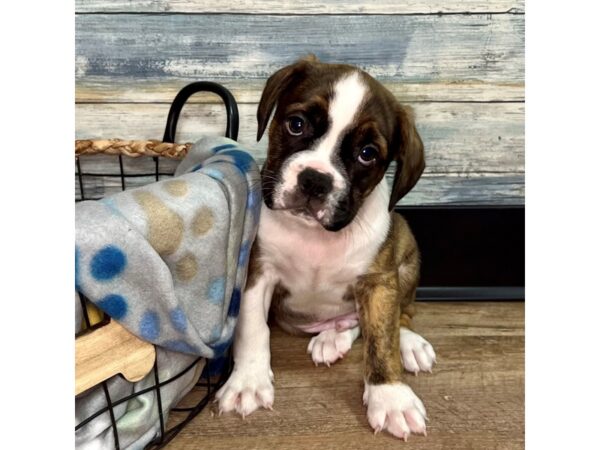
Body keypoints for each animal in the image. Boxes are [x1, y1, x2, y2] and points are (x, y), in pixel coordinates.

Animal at [216, 56, 436, 440]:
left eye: (367, 154)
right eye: (296, 124)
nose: (315, 180)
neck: (316, 236)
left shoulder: (378, 284)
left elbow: (382, 338)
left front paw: (390, 396)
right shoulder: (258, 273)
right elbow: (253, 330)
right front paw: (248, 381)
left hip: (406, 249)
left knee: (400, 314)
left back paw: (405, 342)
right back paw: (333, 337)